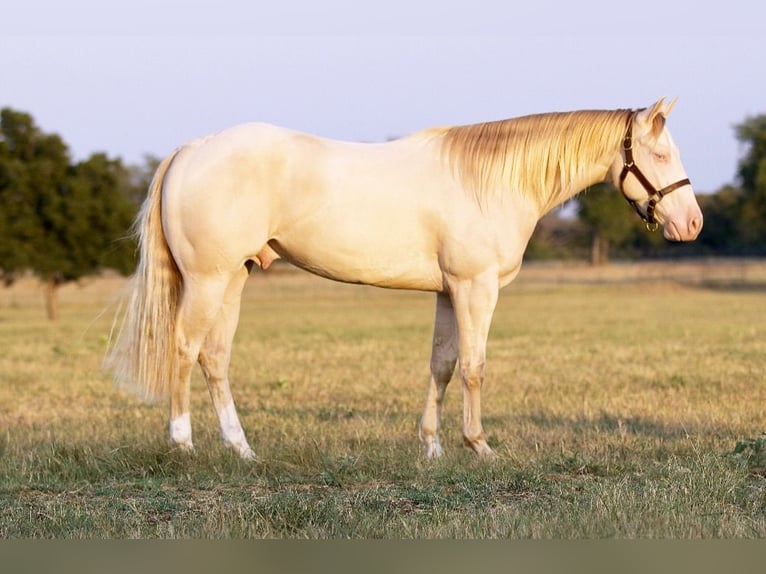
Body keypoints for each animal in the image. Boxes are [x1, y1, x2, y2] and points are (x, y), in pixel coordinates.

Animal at [106, 97, 704, 462]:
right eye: (658, 152)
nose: (692, 223)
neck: (490, 180)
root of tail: (193, 149)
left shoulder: (448, 291)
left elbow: (441, 366)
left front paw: (432, 449)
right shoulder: (475, 288)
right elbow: (474, 367)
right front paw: (479, 446)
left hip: (234, 279)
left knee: (215, 359)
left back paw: (243, 450)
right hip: (208, 280)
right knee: (184, 350)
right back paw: (183, 445)